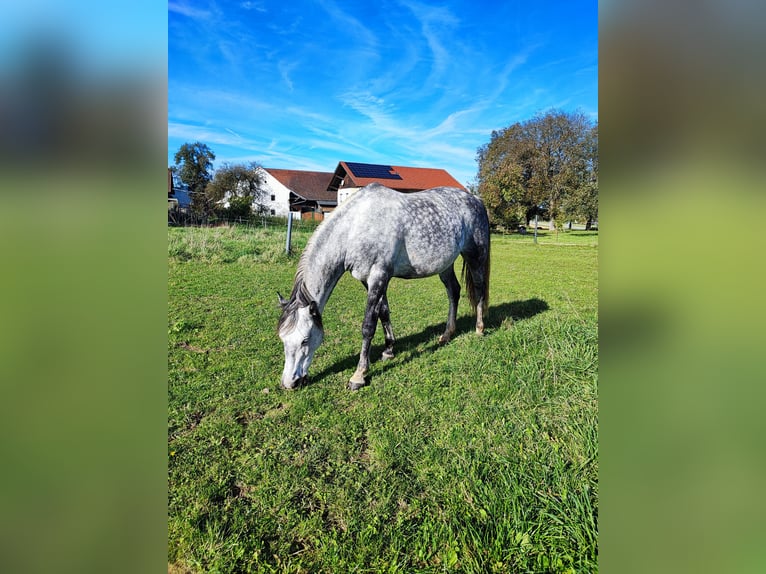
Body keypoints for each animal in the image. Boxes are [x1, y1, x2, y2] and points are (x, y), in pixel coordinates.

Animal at [277, 182, 490, 391]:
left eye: (305, 339)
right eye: (282, 338)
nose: (289, 383)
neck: (355, 226)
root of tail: (476, 200)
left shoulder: (378, 276)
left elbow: (368, 325)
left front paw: (359, 375)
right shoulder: (370, 279)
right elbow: (383, 312)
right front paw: (388, 350)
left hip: (475, 255)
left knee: (479, 289)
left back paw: (479, 329)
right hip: (445, 265)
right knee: (453, 292)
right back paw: (447, 334)